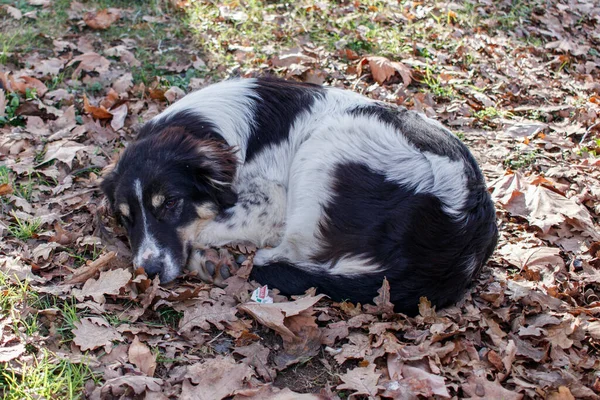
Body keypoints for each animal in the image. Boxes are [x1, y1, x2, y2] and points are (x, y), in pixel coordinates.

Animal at [102, 77, 496, 316]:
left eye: (171, 203)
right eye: (126, 217)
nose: (148, 272)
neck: (211, 128)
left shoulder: (271, 203)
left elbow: (209, 225)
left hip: (324, 150)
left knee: (286, 257)